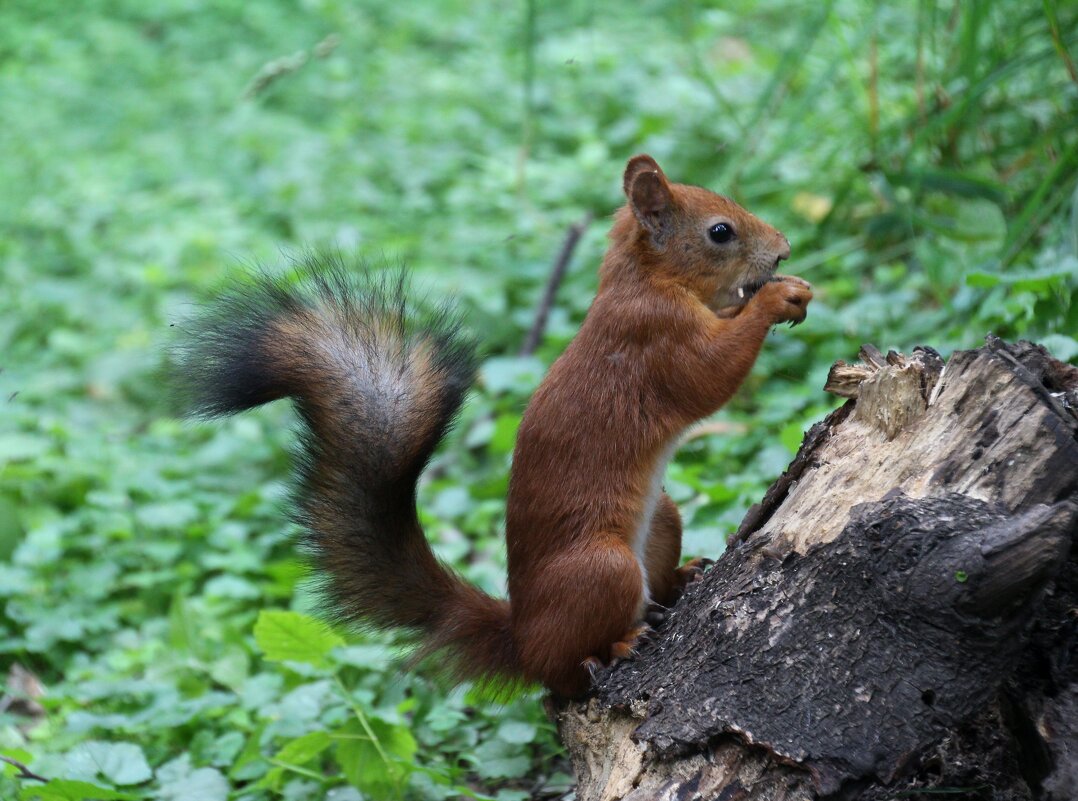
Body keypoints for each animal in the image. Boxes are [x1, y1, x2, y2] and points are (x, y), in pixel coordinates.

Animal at [181, 155, 810, 694]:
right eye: (721, 232)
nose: (783, 251)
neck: (642, 279)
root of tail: (521, 638)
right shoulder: (655, 337)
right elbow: (710, 377)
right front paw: (776, 299)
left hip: (662, 518)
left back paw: (681, 578)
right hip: (600, 571)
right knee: (562, 674)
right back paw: (613, 647)